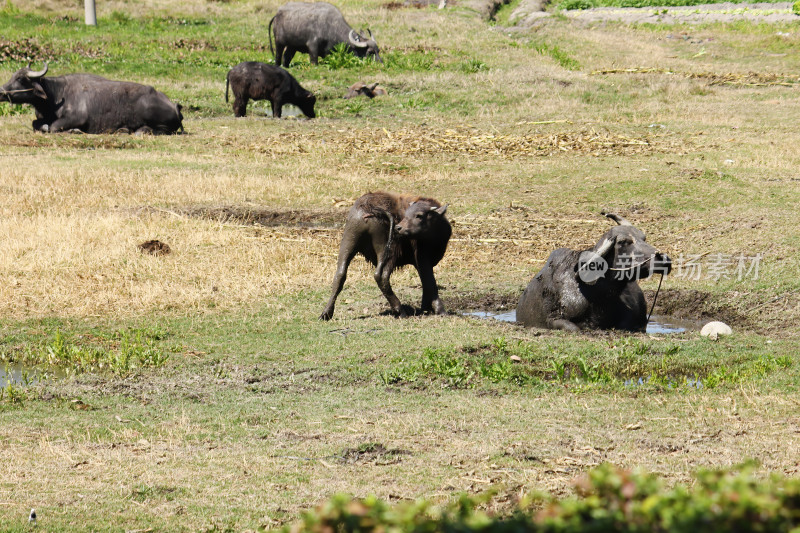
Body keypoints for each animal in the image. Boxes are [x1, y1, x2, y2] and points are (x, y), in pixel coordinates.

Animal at [0, 63, 183, 134]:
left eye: (20, 79)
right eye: (13, 76)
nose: (1, 91)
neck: (55, 96)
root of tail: (174, 105)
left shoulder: (76, 118)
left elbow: (53, 127)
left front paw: (74, 130)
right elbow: (36, 124)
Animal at [322, 191, 454, 320]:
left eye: (419, 215)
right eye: (408, 214)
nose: (399, 227)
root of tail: (368, 206)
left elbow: (425, 283)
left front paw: (426, 308)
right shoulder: (423, 259)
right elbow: (430, 283)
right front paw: (440, 311)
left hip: (348, 242)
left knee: (340, 274)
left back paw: (326, 313)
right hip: (389, 250)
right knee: (381, 276)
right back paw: (400, 311)